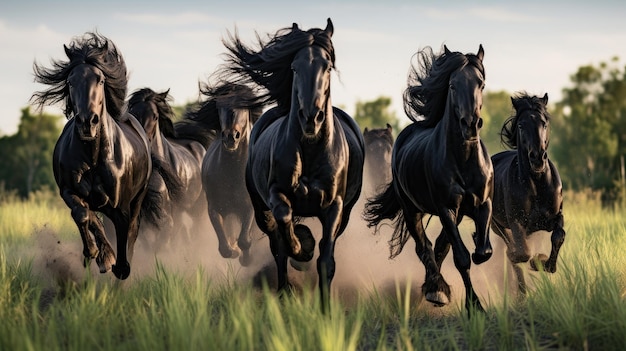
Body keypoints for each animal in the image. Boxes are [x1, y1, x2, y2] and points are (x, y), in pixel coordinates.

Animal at [31, 33, 153, 280]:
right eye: (71, 81)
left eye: (101, 80)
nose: (88, 122)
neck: (94, 158)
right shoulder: (68, 191)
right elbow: (82, 214)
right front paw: (98, 255)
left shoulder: (122, 206)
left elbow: (124, 236)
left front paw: (118, 265)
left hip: (138, 197)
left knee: (132, 232)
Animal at [221, 18, 364, 314]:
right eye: (295, 67)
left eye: (327, 66)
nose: (311, 117)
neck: (310, 151)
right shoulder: (277, 195)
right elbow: (286, 225)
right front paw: (303, 249)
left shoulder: (335, 207)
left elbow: (326, 258)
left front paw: (325, 308)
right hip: (259, 207)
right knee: (276, 243)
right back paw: (285, 289)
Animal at [360, 44, 492, 314]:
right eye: (452, 85)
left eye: (481, 83)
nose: (470, 124)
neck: (464, 160)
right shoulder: (445, 209)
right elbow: (462, 258)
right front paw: (473, 306)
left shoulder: (482, 204)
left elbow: (481, 251)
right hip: (412, 210)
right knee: (425, 248)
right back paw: (435, 290)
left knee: (439, 248)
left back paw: (434, 287)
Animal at [490, 93, 564, 294]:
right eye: (521, 125)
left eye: (544, 123)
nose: (537, 158)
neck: (537, 185)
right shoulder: (516, 222)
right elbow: (522, 253)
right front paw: (535, 261)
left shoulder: (555, 216)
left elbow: (558, 235)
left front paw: (544, 263)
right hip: (496, 224)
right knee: (511, 249)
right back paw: (521, 293)